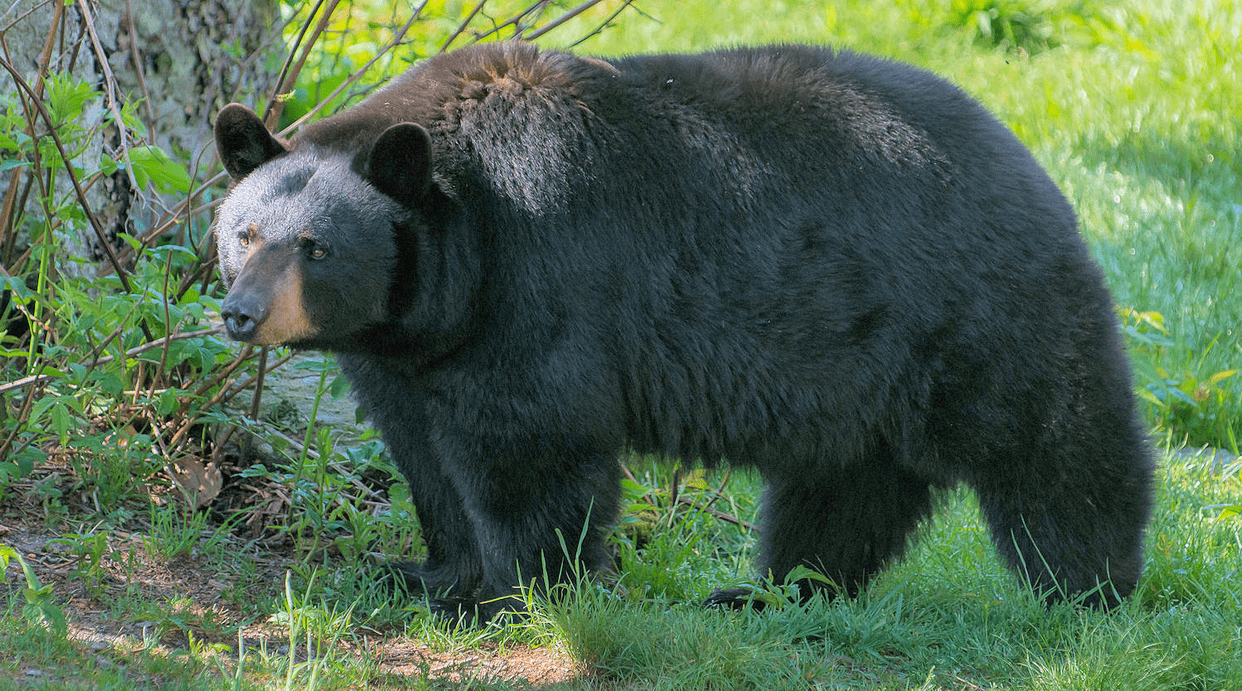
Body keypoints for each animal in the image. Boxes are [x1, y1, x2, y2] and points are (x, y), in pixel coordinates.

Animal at [213, 43, 1152, 618]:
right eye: (244, 232)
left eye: (318, 246)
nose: (240, 314)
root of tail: (1032, 160)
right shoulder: (411, 351)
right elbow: (423, 455)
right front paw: (428, 573)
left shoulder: (540, 285)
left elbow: (534, 446)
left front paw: (525, 593)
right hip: (860, 360)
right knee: (842, 484)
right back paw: (776, 592)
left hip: (977, 308)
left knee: (1058, 446)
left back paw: (1091, 589)